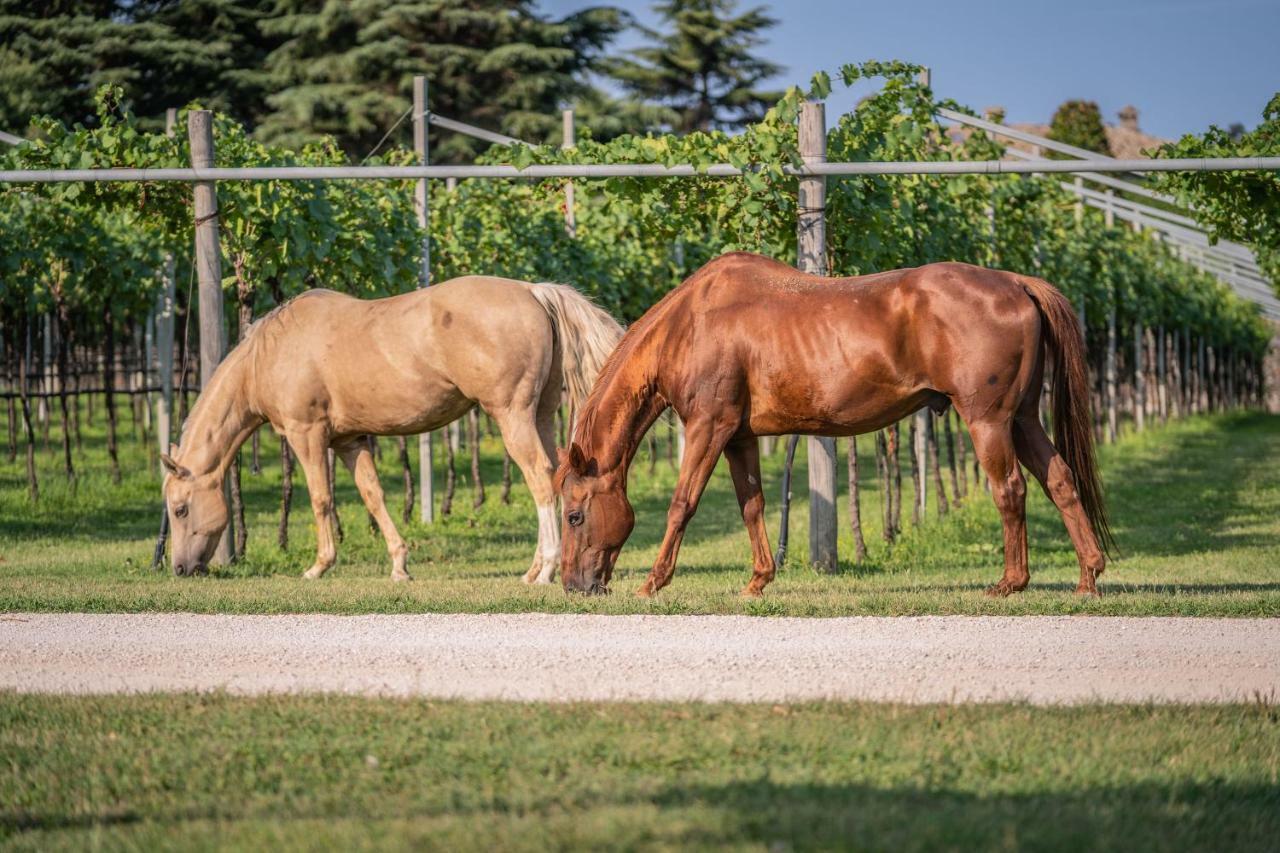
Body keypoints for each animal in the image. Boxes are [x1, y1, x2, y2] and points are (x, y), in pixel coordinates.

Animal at [162, 275, 622, 581]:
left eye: (180, 508)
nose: (181, 567)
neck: (270, 353)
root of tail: (532, 290)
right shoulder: (350, 441)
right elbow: (373, 495)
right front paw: (400, 564)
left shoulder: (306, 435)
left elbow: (321, 499)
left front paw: (319, 566)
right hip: (540, 415)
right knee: (557, 476)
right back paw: (535, 568)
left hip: (512, 416)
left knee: (540, 479)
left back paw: (544, 571)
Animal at [558, 252, 1111, 596]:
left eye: (575, 516)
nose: (573, 586)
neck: (692, 322)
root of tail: (1017, 283)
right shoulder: (739, 438)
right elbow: (753, 506)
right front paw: (758, 580)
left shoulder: (707, 429)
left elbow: (682, 505)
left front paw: (653, 581)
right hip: (1022, 419)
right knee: (1060, 480)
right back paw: (1088, 575)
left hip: (989, 422)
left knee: (1010, 489)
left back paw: (1010, 582)